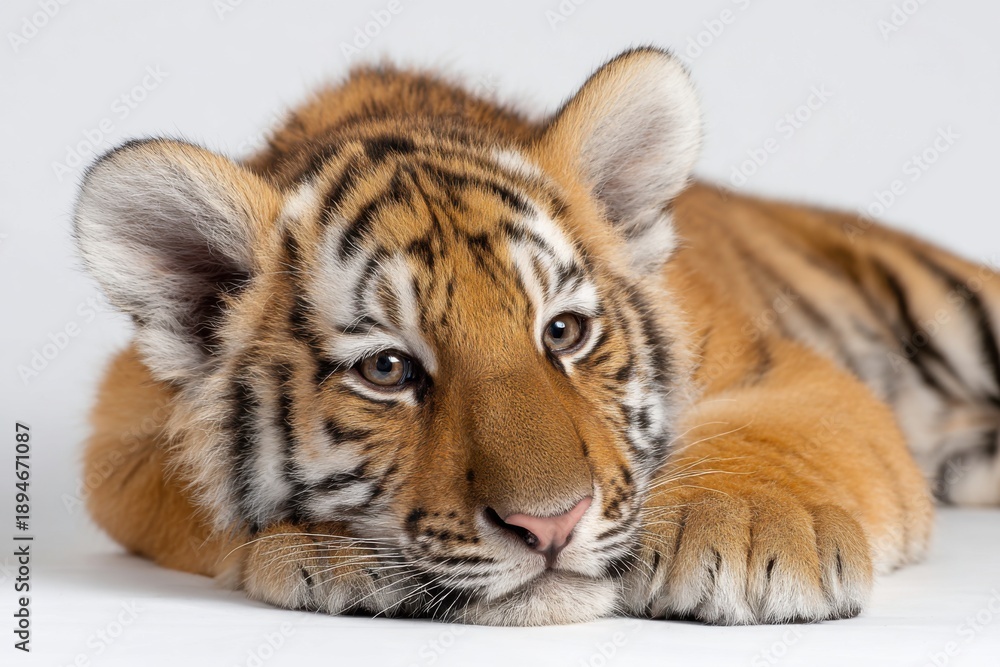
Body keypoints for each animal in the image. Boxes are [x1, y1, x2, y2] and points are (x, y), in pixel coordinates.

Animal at [72, 46, 999, 627]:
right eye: (388, 369)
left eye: (565, 331)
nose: (549, 528)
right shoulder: (123, 431)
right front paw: (335, 552)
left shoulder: (793, 369)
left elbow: (778, 438)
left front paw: (745, 535)